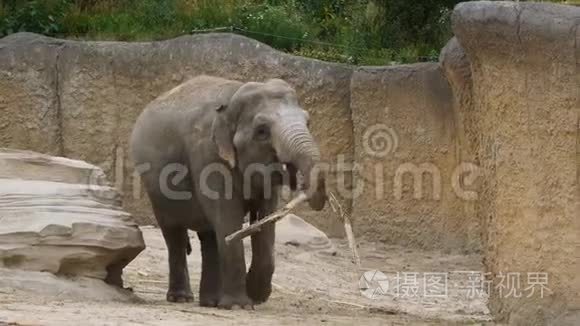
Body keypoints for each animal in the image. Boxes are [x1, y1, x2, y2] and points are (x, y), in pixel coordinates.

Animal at [130, 75, 326, 310]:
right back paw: (182, 298)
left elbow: (266, 219)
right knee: (175, 234)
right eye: (262, 131)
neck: (233, 97)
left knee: (210, 237)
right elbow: (228, 216)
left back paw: (211, 302)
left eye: (308, 122)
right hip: (156, 190)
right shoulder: (208, 155)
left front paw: (255, 295)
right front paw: (240, 305)